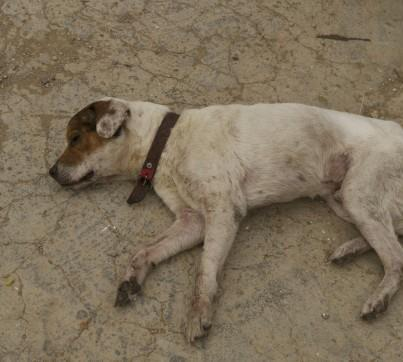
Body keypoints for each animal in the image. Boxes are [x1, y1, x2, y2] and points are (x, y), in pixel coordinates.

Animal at [49, 97, 403, 340]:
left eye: (75, 139)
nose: (50, 172)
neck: (167, 141)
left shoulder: (222, 210)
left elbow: (204, 272)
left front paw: (199, 315)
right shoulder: (192, 221)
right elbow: (144, 251)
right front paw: (132, 279)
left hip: (358, 195)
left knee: (396, 255)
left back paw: (378, 298)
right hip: (340, 198)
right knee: (395, 237)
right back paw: (349, 250)